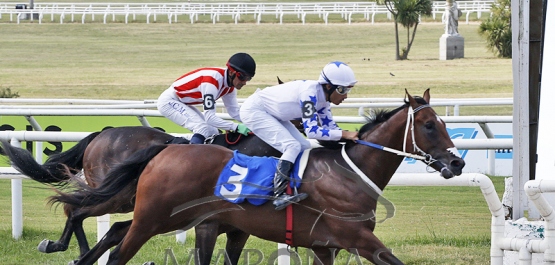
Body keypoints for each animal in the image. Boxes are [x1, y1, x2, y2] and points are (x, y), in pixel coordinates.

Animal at [1, 126, 282, 264]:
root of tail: (101, 134)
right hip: (118, 198)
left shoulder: (238, 230)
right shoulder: (207, 224)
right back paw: (66, 247)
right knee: (75, 210)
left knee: (90, 217)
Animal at [55, 89, 464, 264]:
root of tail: (167, 148)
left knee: (113, 231)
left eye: (444, 124)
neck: (349, 171)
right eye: (429, 125)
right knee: (111, 243)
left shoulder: (324, 245)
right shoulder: (358, 238)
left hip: (160, 216)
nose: (457, 164)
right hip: (152, 217)